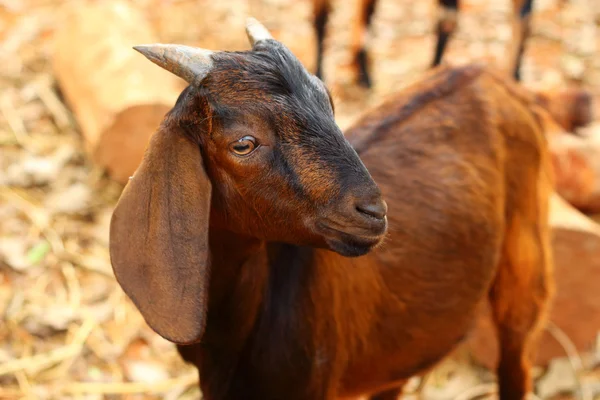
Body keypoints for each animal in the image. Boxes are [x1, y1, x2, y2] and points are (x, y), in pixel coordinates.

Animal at [109, 18, 552, 400]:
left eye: (330, 106)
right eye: (244, 143)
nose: (374, 211)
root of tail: (487, 74)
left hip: (525, 266)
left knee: (516, 359)